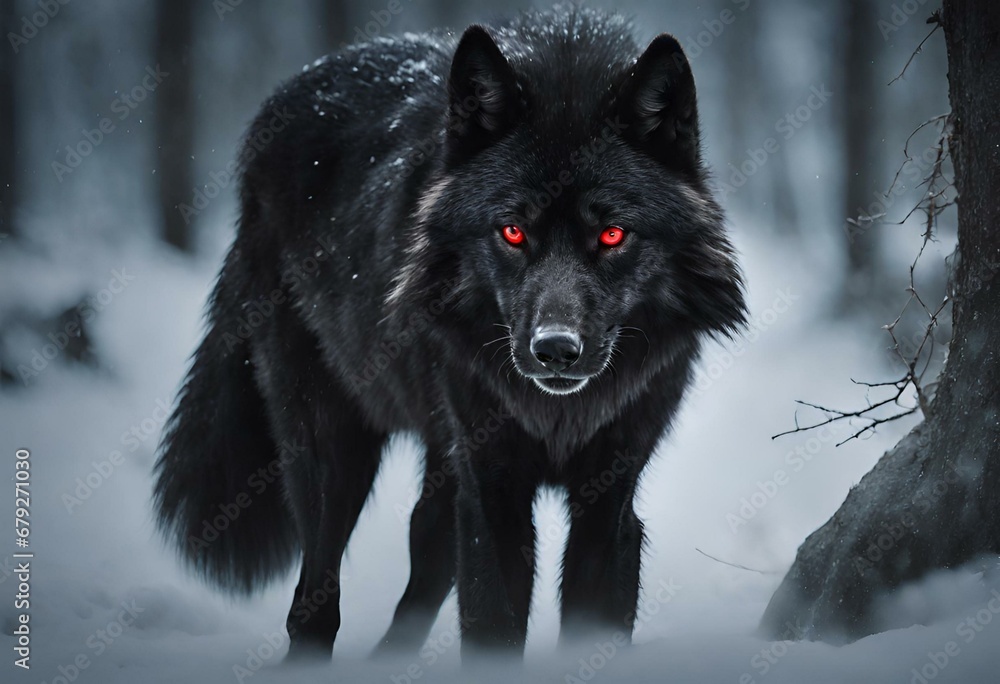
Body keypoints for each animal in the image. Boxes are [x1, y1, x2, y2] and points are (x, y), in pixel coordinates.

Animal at [153, 6, 745, 661]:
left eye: (612, 235)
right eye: (512, 231)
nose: (555, 350)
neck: (557, 416)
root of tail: (278, 104)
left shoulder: (608, 503)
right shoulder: (493, 491)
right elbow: (490, 623)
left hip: (441, 454)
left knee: (428, 550)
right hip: (335, 450)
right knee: (314, 600)